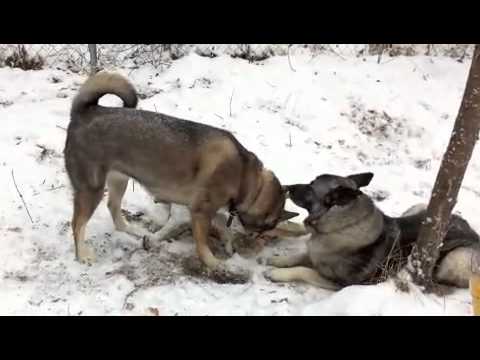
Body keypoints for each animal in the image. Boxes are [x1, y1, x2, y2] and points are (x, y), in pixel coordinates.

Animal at [63, 72, 296, 270]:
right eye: (269, 226)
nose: (259, 239)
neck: (248, 181)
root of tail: (84, 112)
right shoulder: (200, 212)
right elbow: (203, 245)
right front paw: (213, 262)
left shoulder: (213, 210)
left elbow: (225, 230)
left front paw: (229, 246)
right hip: (91, 188)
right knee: (77, 224)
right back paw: (82, 254)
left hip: (119, 179)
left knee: (113, 207)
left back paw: (132, 230)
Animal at [264, 172, 480, 290]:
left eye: (310, 187)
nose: (287, 187)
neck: (342, 226)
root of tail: (473, 232)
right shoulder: (315, 254)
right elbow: (300, 255)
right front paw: (279, 260)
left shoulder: (340, 283)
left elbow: (304, 270)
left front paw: (278, 273)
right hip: (421, 208)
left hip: (455, 259)